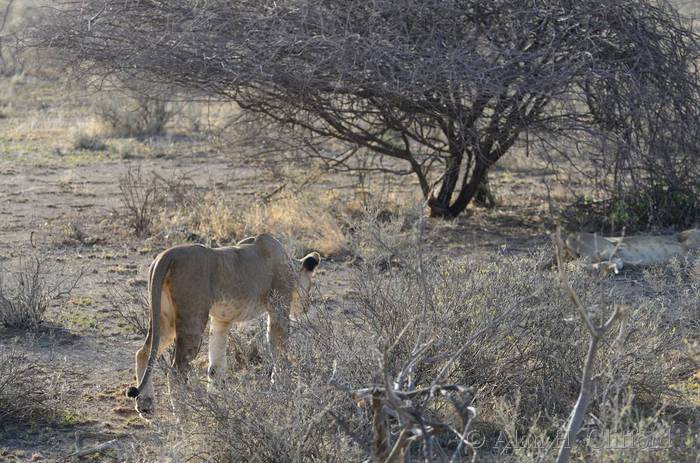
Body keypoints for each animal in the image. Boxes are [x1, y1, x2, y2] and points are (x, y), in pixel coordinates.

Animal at [125, 233, 320, 417]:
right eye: (311, 286)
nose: (306, 306)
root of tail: (167, 255)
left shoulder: (221, 320)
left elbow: (216, 366)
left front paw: (217, 402)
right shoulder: (279, 307)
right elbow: (280, 350)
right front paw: (282, 388)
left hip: (165, 319)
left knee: (143, 352)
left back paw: (146, 405)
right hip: (193, 319)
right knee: (175, 371)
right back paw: (183, 416)